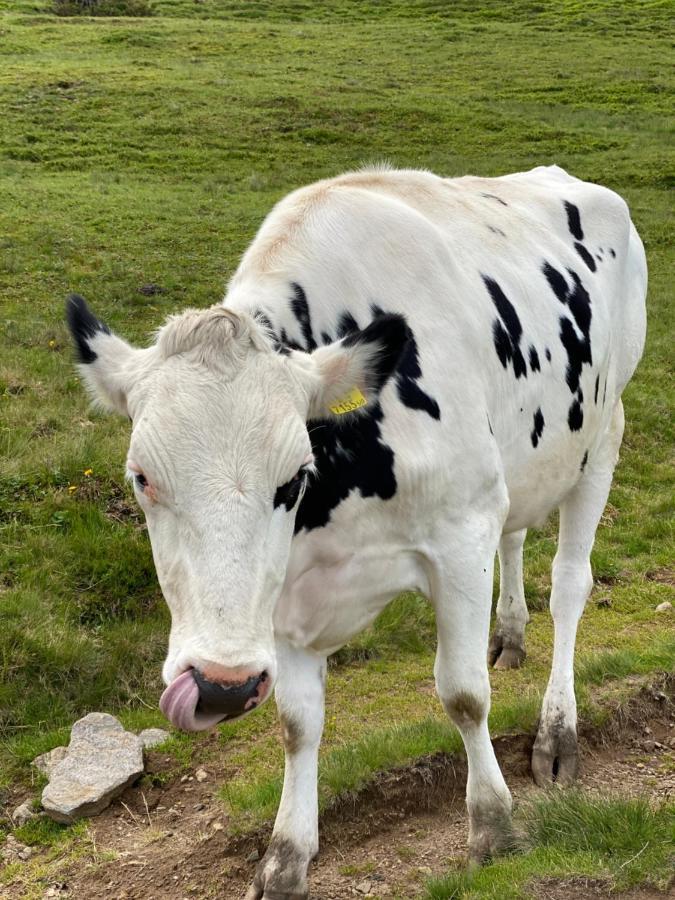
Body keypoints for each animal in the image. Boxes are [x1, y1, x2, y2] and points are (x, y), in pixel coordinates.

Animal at [66, 165, 648, 896]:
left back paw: (557, 732)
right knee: (514, 534)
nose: (222, 685)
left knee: (569, 585)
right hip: (520, 465)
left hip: (602, 434)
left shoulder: (460, 533)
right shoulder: (282, 591)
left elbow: (462, 695)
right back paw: (510, 635)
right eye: (140, 478)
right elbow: (297, 724)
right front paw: (285, 856)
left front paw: (493, 827)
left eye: (294, 476)